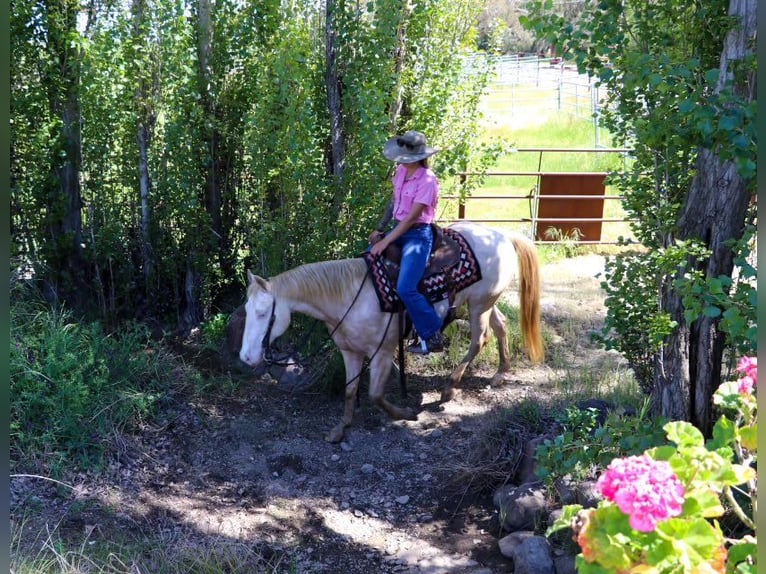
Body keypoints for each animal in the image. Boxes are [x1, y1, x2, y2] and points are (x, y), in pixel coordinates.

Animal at [240, 222, 544, 446]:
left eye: (263, 313)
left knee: (479, 339)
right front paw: (341, 428)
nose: (246, 358)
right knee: (501, 326)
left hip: (480, 305)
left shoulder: (383, 352)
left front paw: (405, 414)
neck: (349, 294)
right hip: (482, 302)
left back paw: (449, 388)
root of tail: (502, 234)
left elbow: (375, 394)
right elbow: (349, 391)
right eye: (247, 309)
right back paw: (500, 373)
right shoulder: (350, 352)